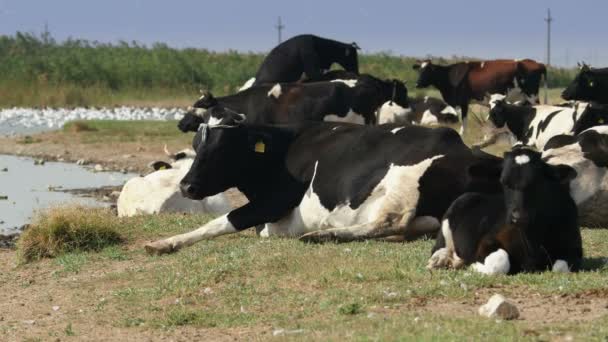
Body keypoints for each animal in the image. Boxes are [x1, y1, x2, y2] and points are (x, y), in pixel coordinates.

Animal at [142, 120, 504, 254]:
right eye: (196, 146)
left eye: (222, 150)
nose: (187, 186)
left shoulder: (275, 202)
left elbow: (225, 219)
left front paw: (166, 242)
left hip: (403, 182)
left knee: (391, 221)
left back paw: (322, 233)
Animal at [414, 58, 548, 134]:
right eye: (419, 70)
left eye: (427, 71)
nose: (417, 83)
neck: (451, 76)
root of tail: (538, 63)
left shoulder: (463, 102)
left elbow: (463, 123)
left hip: (532, 94)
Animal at [426, 147, 580, 276]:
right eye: (504, 182)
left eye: (537, 182)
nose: (517, 217)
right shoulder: (486, 241)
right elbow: (500, 262)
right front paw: (472, 266)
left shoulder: (574, 248)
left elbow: (560, 268)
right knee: (438, 248)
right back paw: (441, 259)